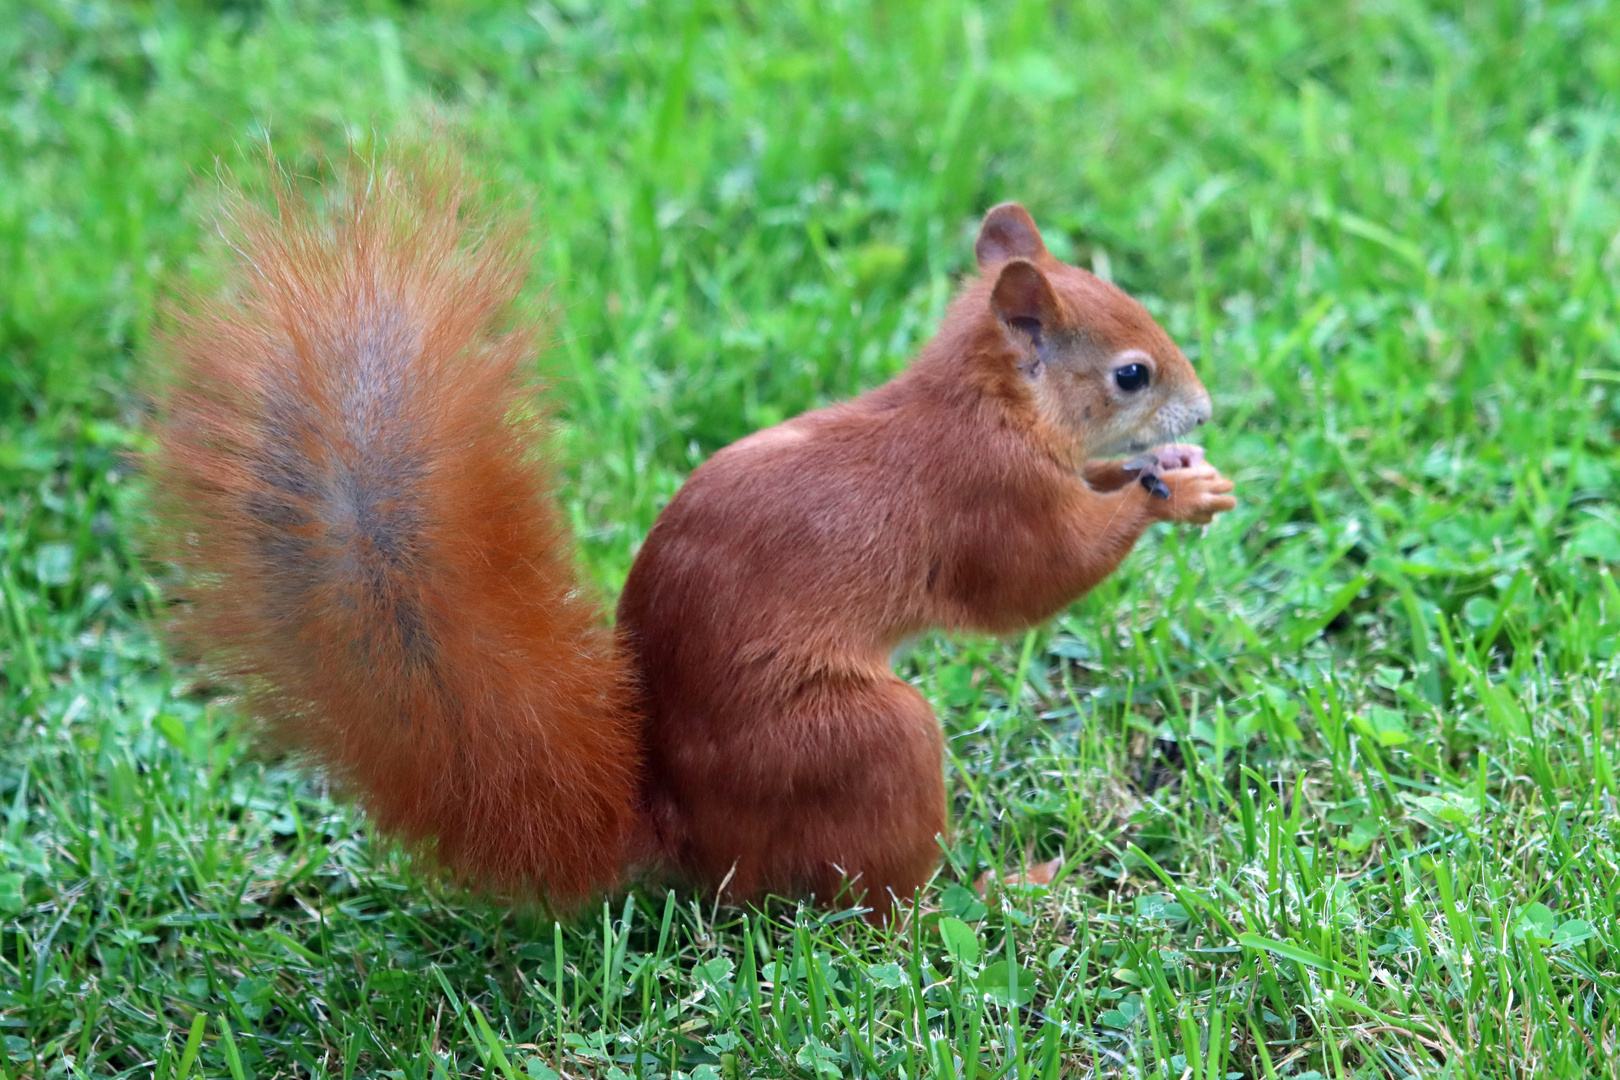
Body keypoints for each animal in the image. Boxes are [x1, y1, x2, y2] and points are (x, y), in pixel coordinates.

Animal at [152, 156, 1231, 919]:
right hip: (855, 742)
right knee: (883, 907)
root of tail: (685, 831)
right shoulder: (986, 500)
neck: (985, 400)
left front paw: (1171, 470)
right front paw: (1165, 495)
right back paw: (1003, 894)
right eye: (1132, 373)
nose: (1208, 408)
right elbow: (1036, 581)